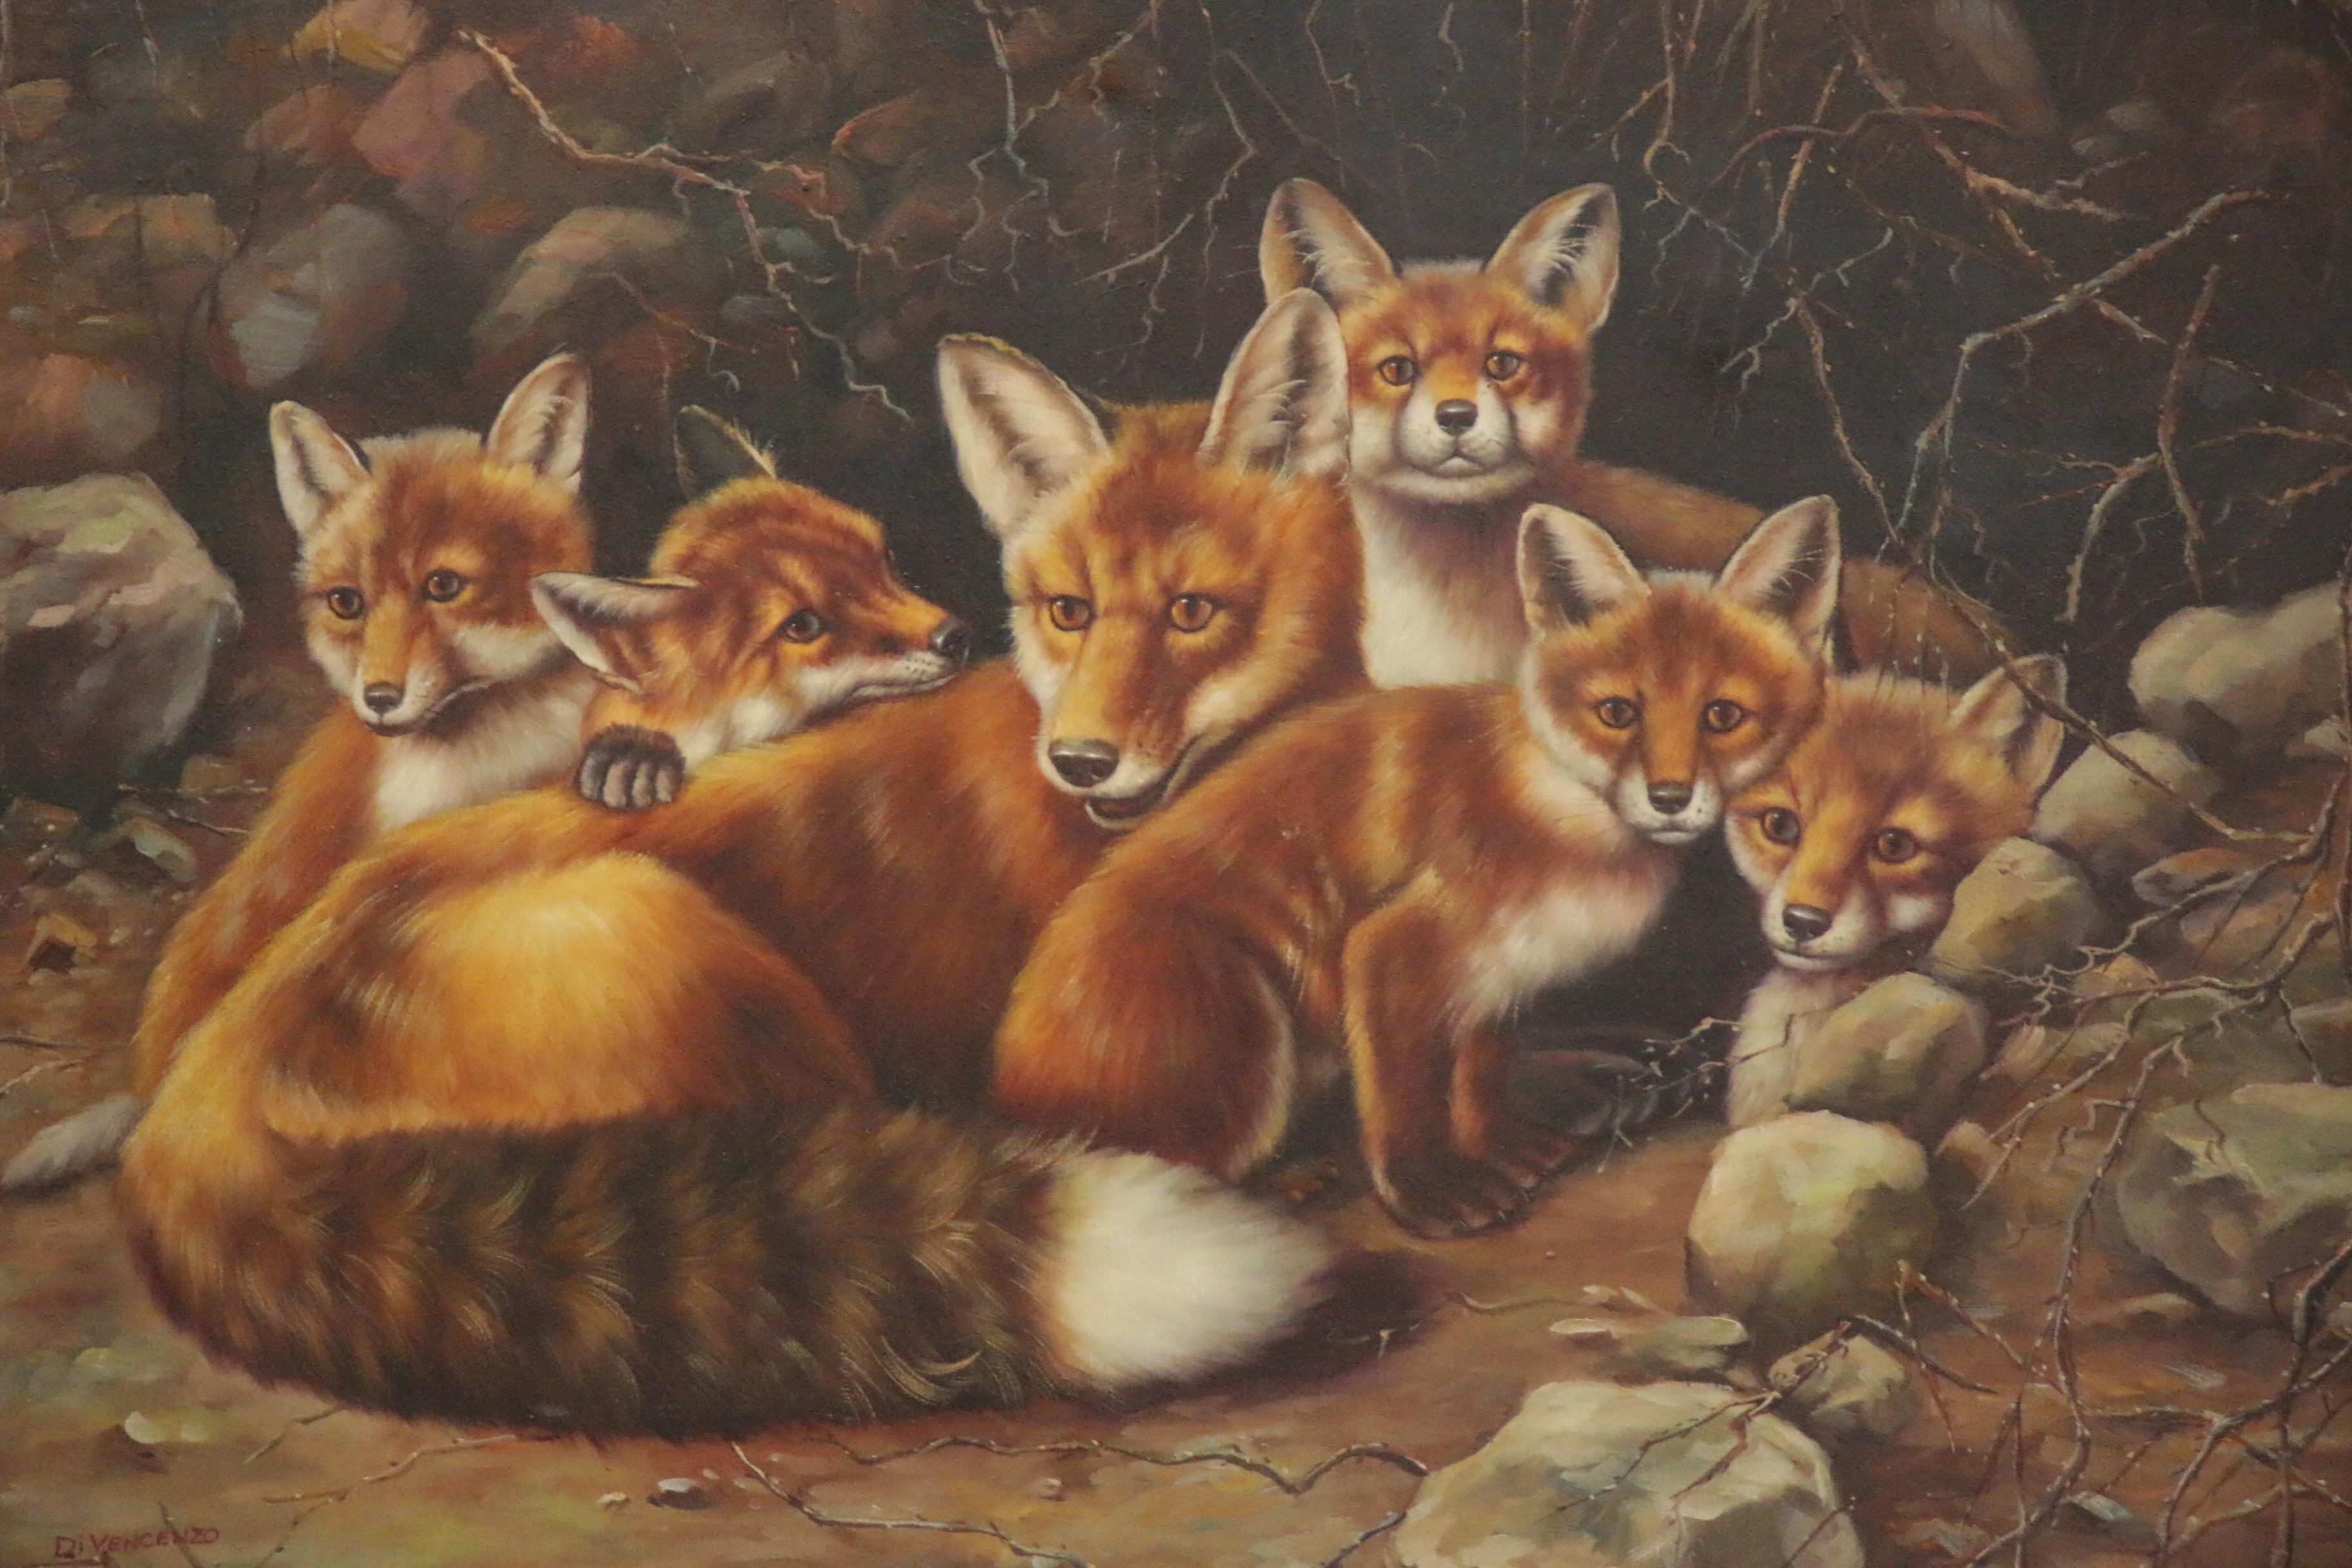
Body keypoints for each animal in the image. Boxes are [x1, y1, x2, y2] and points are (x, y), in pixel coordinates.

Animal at [991, 495, 1843, 1238]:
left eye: (1721, 715)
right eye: (1618, 712)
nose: (1670, 797)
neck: (1568, 822)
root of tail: (1001, 1091)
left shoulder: (1497, 972)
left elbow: (1478, 1075)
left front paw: (1501, 1143)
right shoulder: (1394, 948)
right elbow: (1405, 1102)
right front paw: (1430, 1192)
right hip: (1242, 1021)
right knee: (1157, 1168)